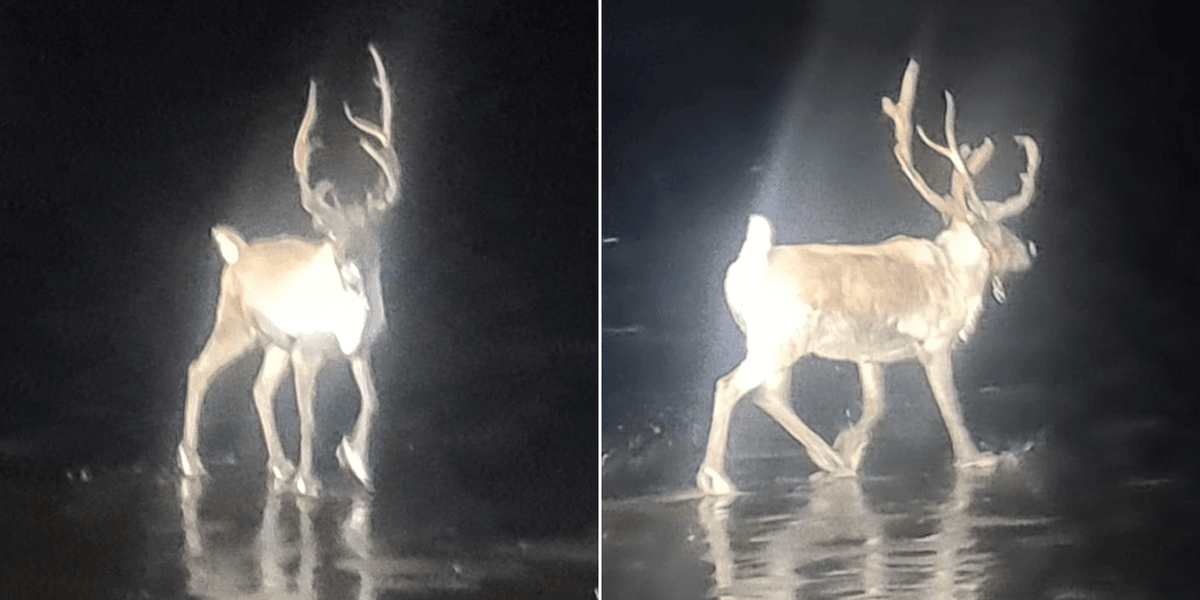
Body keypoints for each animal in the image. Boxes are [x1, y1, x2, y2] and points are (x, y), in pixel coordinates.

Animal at [177, 44, 400, 496]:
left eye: (368, 231)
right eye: (330, 234)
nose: (349, 266)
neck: (349, 315)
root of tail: (238, 251)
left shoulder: (360, 349)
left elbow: (373, 400)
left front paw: (356, 461)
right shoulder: (308, 351)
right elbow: (308, 416)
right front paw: (308, 481)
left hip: (274, 343)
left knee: (260, 388)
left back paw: (279, 465)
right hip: (236, 324)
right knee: (199, 369)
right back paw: (192, 461)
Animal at [696, 59, 1040, 495]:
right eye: (1003, 229)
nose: (1029, 251)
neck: (959, 277)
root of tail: (742, 271)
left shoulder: (869, 354)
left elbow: (877, 407)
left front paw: (851, 445)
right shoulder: (934, 342)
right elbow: (951, 406)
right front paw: (976, 458)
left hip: (776, 345)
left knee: (769, 396)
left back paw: (830, 458)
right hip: (779, 341)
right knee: (732, 386)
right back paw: (717, 477)